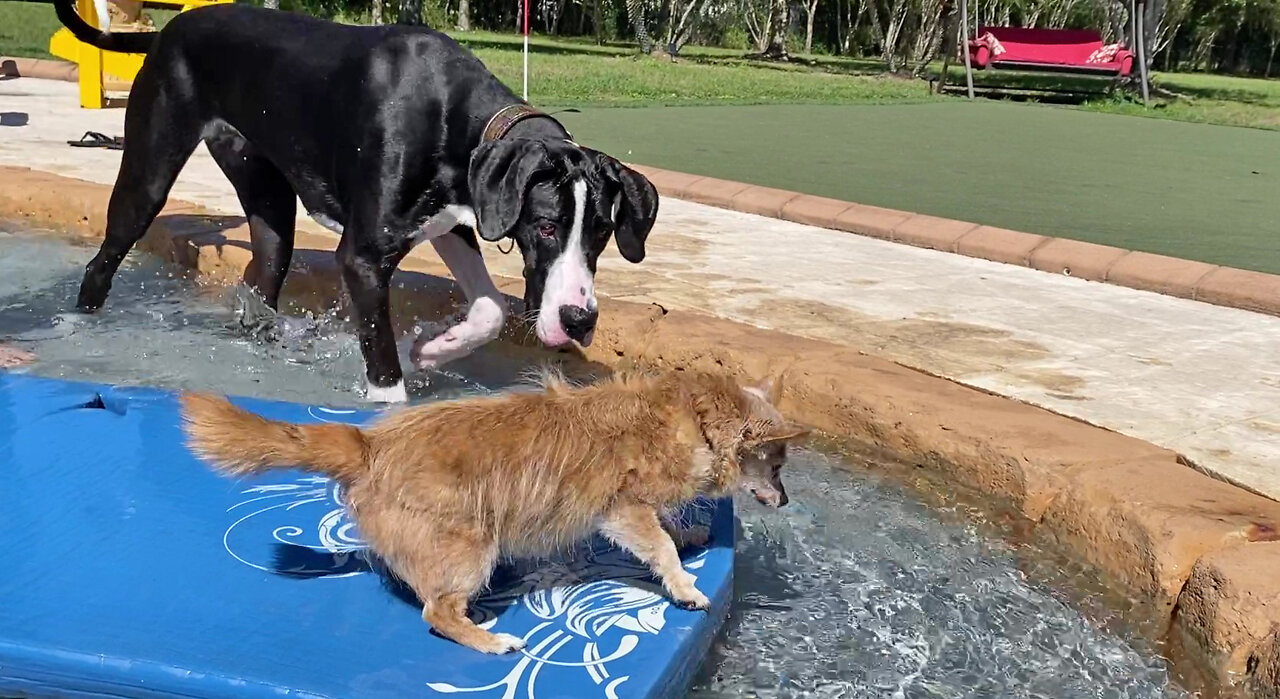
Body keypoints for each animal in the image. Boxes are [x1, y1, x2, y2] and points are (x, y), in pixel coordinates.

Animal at [53, 1, 660, 401]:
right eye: (547, 227)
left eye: (602, 235)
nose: (580, 320)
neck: (460, 117)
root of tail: (169, 29)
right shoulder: (364, 257)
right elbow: (386, 372)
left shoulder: (455, 218)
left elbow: (489, 308)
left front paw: (434, 348)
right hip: (147, 178)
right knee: (101, 264)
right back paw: (75, 330)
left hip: (272, 214)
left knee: (260, 284)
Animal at [177, 368, 808, 652]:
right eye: (777, 466)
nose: (784, 499)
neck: (694, 419)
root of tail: (368, 445)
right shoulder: (622, 510)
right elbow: (659, 547)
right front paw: (684, 584)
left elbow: (672, 527)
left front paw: (693, 530)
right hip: (471, 551)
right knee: (436, 612)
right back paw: (488, 641)